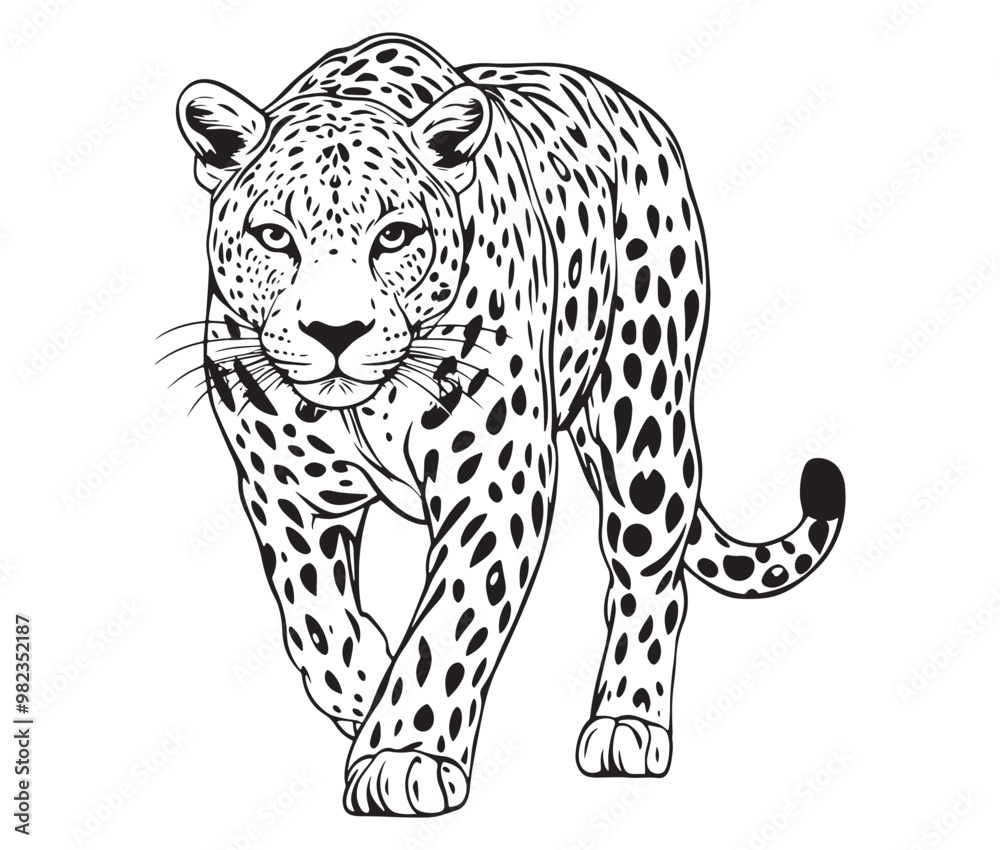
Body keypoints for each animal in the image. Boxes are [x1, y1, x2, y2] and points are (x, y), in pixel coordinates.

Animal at [174, 33, 846, 817]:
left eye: (394, 235)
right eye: (274, 236)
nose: (335, 332)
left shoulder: (495, 483)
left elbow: (450, 622)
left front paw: (402, 756)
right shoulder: (288, 490)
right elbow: (316, 618)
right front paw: (365, 689)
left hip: (643, 416)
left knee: (652, 569)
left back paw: (627, 723)